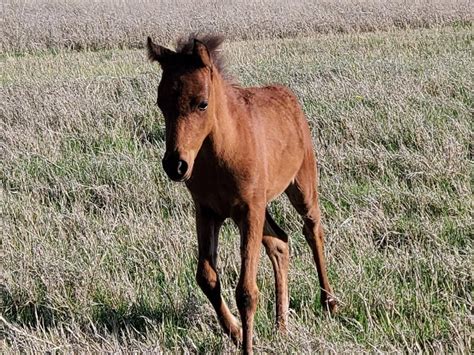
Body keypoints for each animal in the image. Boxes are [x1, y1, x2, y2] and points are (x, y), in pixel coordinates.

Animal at [146, 32, 336, 354]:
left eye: (202, 104)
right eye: (161, 103)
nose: (176, 165)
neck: (222, 151)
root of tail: (287, 95)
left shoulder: (249, 210)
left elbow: (246, 291)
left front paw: (246, 343)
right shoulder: (207, 211)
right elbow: (207, 277)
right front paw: (235, 332)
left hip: (301, 184)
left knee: (313, 230)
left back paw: (329, 302)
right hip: (252, 211)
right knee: (280, 242)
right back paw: (281, 326)